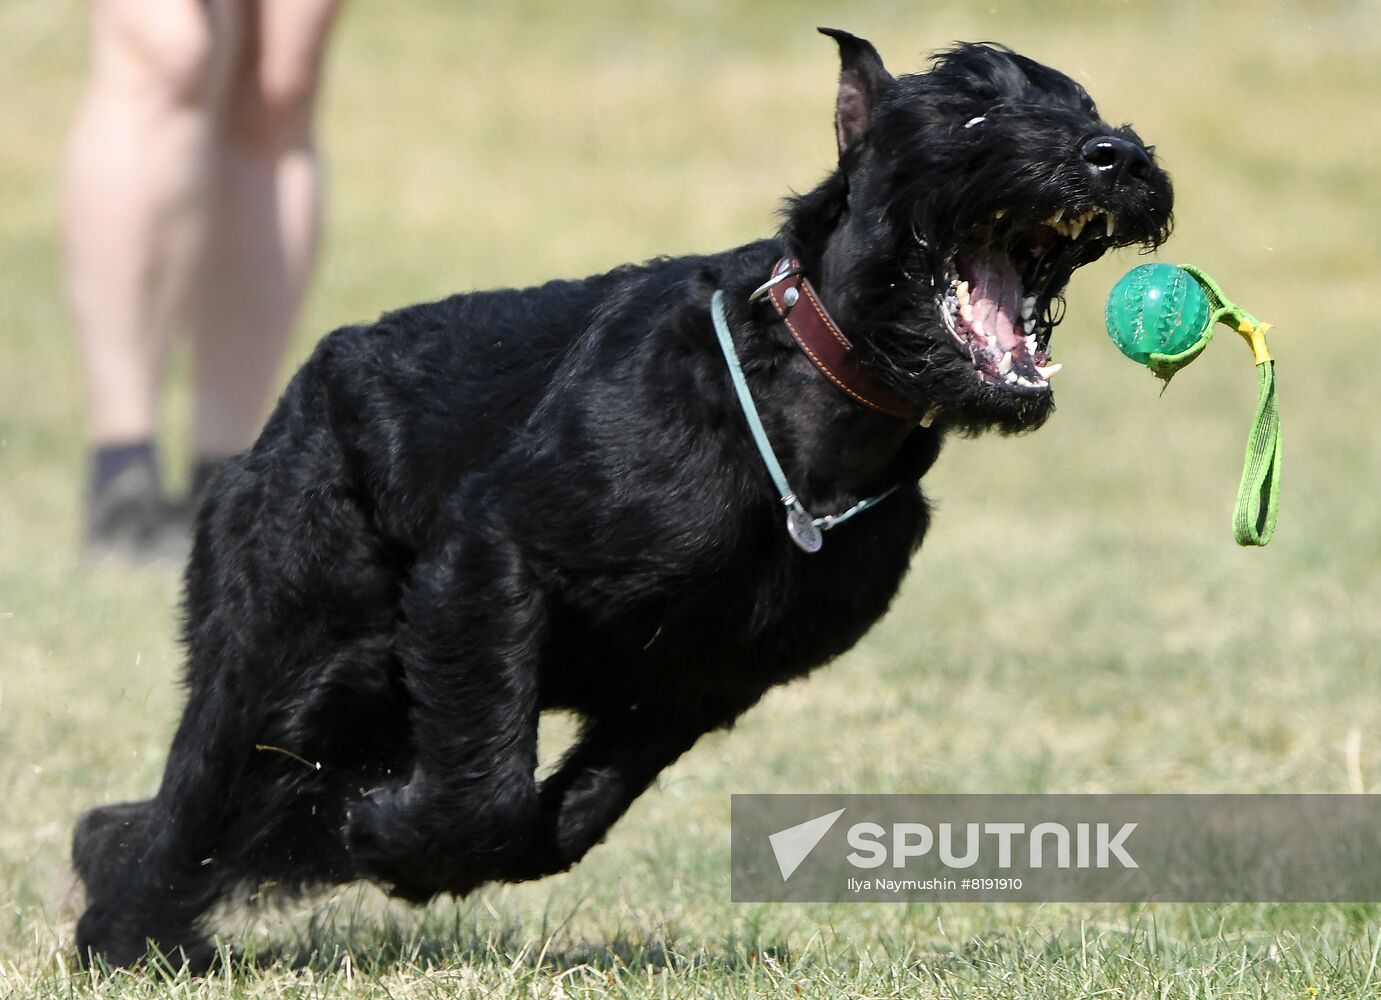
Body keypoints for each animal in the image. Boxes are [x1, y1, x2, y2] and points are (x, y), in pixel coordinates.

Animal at [72, 33, 1165, 966]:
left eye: (1082, 107)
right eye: (968, 114)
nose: (1115, 158)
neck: (801, 406)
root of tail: (284, 412)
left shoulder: (697, 682)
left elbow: (563, 816)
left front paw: (396, 841)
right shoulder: (492, 558)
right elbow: (488, 788)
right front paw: (390, 833)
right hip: (287, 663)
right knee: (188, 808)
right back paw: (129, 937)